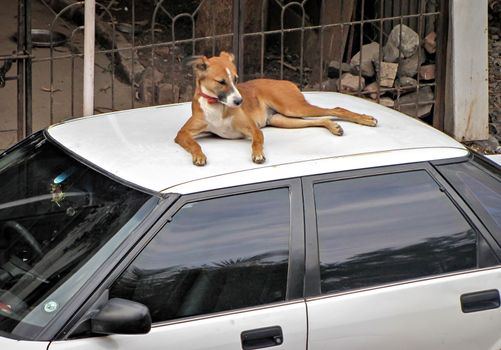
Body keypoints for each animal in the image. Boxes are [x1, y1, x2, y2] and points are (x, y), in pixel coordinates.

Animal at [176, 52, 376, 167]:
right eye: (221, 82)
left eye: (236, 79)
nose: (240, 101)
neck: (217, 105)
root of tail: (285, 81)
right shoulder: (182, 133)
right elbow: (194, 143)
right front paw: (199, 156)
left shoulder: (253, 129)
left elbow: (256, 141)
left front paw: (258, 154)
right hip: (282, 119)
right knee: (320, 120)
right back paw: (333, 127)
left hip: (293, 107)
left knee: (336, 108)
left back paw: (366, 119)